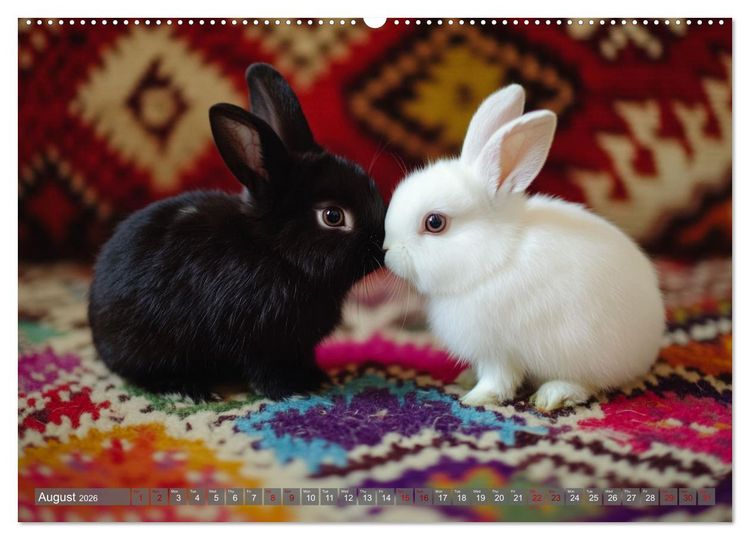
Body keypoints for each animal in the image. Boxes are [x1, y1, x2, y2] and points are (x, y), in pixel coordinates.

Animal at [88, 64, 386, 401]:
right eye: (333, 216)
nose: (383, 245)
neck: (276, 253)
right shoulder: (260, 341)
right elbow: (265, 373)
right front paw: (291, 392)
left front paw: (316, 378)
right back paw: (188, 390)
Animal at [383, 84, 665, 411]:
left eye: (435, 222)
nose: (387, 251)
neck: (493, 261)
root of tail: (648, 343)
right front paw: (467, 380)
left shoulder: (498, 350)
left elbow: (498, 380)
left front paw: (475, 397)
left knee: (587, 384)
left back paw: (552, 396)